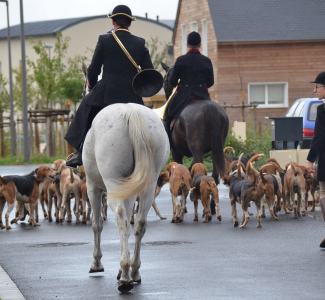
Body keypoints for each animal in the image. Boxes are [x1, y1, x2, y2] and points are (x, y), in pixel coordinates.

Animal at [83, 103, 170, 292]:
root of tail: (131, 112)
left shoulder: (92, 188)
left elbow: (96, 225)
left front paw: (96, 263)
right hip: (148, 186)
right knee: (139, 224)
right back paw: (134, 271)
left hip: (114, 184)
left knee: (122, 220)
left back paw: (124, 275)